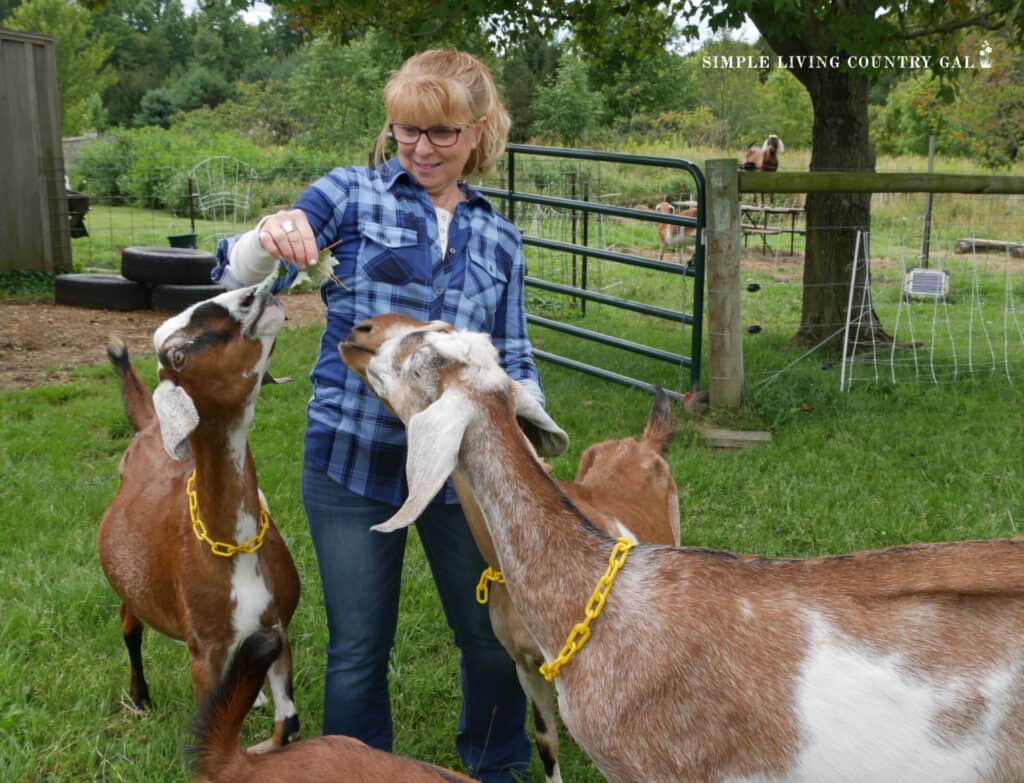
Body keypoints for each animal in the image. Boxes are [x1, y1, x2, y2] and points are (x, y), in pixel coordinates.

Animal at [97, 284, 301, 749]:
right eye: (177, 354)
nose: (252, 295)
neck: (234, 545)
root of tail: (150, 426)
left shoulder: (276, 625)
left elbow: (288, 726)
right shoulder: (203, 652)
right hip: (131, 586)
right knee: (129, 626)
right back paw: (140, 698)